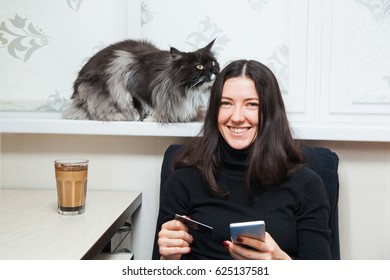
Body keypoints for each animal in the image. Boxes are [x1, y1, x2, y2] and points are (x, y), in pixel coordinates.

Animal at [62, 38, 218, 122]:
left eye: (213, 63)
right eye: (199, 66)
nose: (213, 72)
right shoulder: (129, 73)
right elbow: (141, 103)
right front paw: (148, 117)